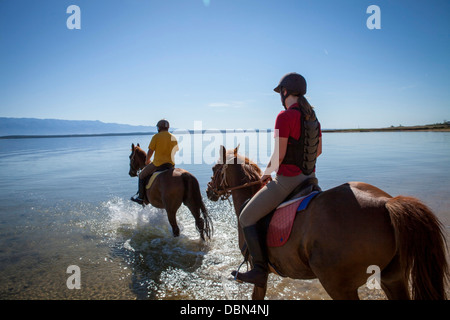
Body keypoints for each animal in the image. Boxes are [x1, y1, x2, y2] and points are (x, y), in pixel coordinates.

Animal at [207, 146, 446, 302]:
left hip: (339, 285)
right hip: (392, 277)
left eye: (213, 168)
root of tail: (386, 203)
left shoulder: (260, 275)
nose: (209, 191)